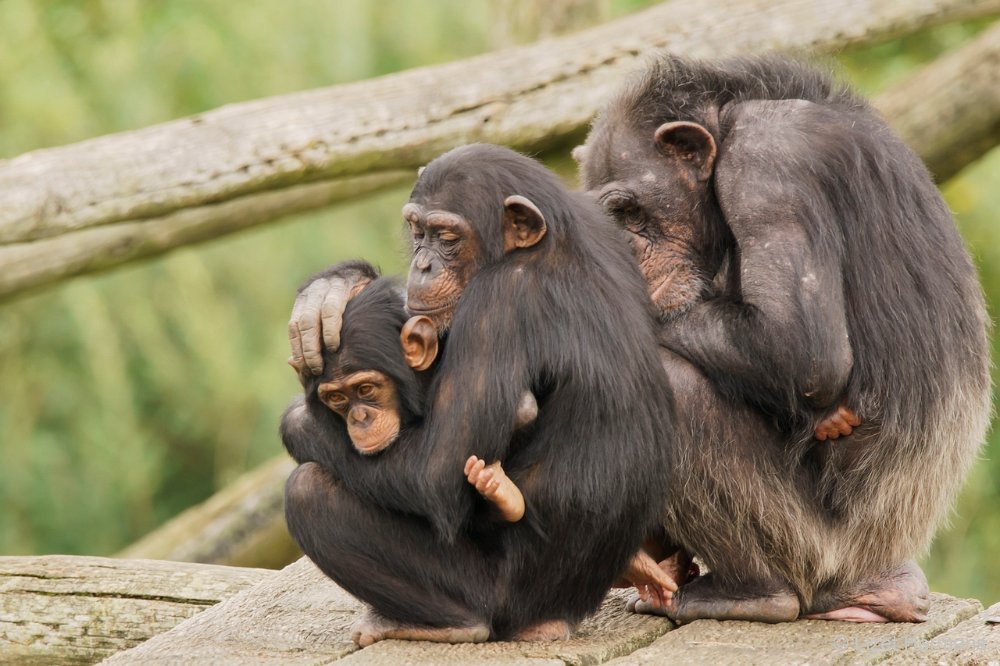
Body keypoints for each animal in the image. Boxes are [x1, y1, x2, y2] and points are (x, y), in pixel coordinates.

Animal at [280, 144, 680, 640]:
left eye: (447, 237)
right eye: (418, 231)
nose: (423, 264)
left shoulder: (498, 301)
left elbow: (434, 473)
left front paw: (296, 419)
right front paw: (332, 290)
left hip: (499, 598)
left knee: (309, 491)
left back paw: (442, 623)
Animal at [572, 55, 992, 624]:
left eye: (629, 211)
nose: (624, 251)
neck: (728, 120)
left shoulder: (766, 168)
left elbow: (799, 348)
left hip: (817, 547)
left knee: (672, 387)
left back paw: (746, 591)